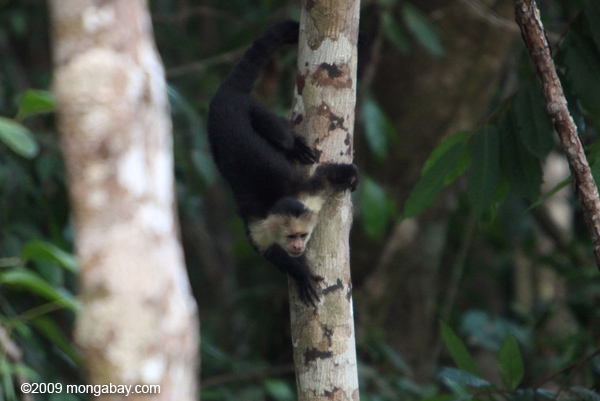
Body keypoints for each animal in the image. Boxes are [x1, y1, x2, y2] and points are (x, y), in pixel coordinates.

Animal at [207, 20, 359, 306]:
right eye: (291, 237)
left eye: (302, 236)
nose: (298, 247)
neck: (277, 200)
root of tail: (225, 95)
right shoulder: (259, 224)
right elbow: (267, 251)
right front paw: (299, 273)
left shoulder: (309, 196)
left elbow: (325, 176)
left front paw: (350, 174)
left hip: (250, 107)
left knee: (282, 138)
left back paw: (295, 145)